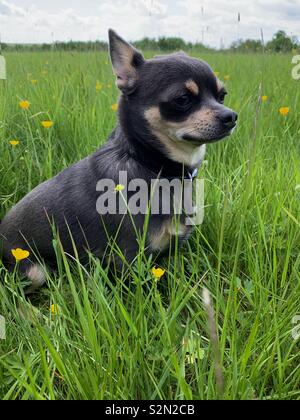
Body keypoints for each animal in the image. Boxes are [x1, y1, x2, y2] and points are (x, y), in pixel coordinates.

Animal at [0, 30, 237, 292]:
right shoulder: (130, 259)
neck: (152, 165)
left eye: (222, 96)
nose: (231, 116)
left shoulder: (172, 252)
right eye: (182, 99)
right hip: (34, 271)